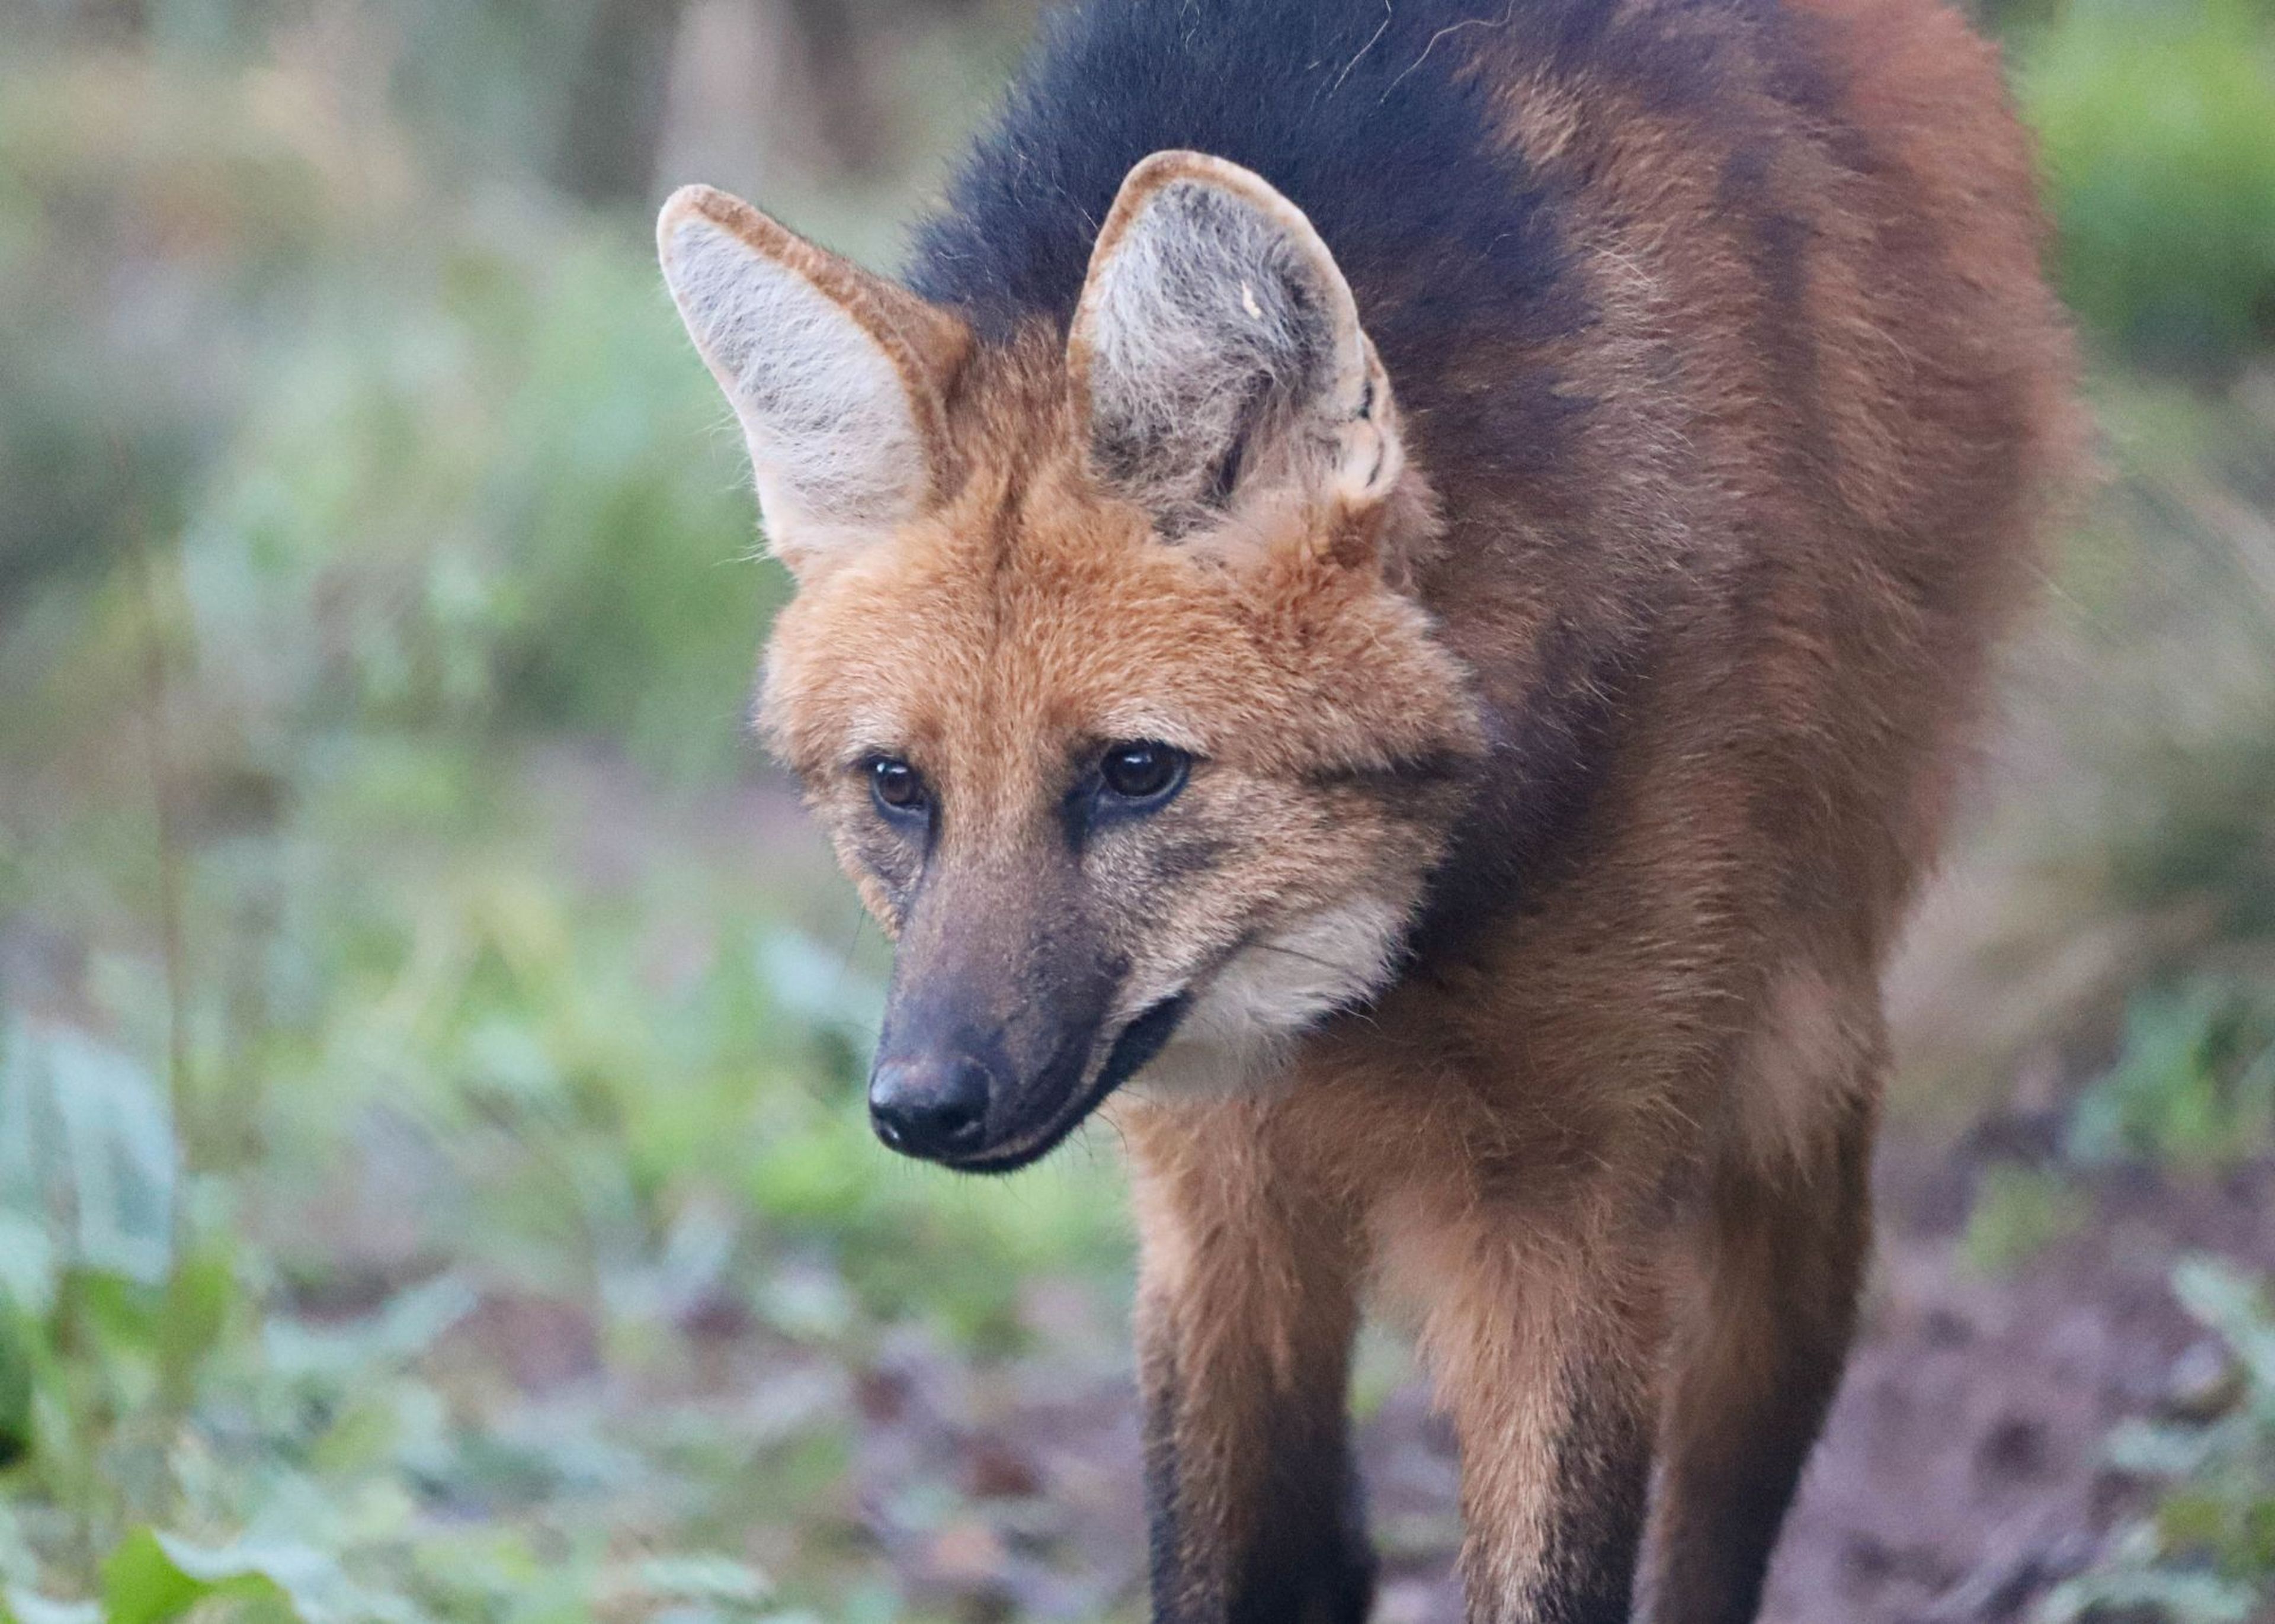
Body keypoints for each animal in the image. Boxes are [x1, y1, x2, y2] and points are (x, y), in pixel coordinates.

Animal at [654, 0, 2078, 1617]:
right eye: (899, 786)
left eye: (1136, 770)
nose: (923, 1102)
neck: (1394, 950)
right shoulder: (1212, 1201)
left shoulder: (1574, 1211)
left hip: (1795, 1069)